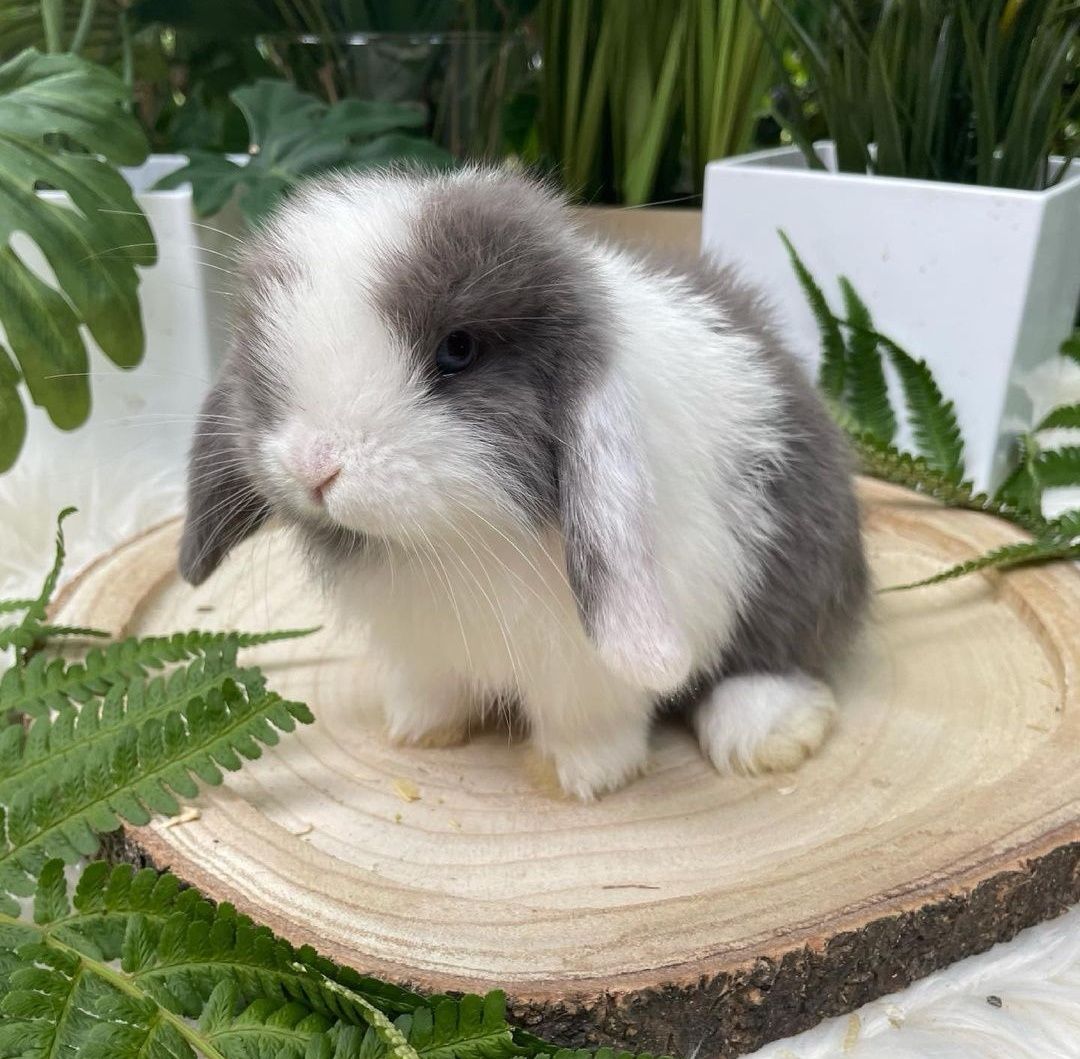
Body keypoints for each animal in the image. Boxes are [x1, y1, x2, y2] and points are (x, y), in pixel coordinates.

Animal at [179, 165, 868, 798]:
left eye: (457, 350)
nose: (314, 465)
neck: (452, 541)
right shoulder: (420, 649)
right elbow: (431, 689)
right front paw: (419, 731)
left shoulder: (593, 664)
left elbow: (590, 721)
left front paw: (581, 778)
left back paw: (768, 734)